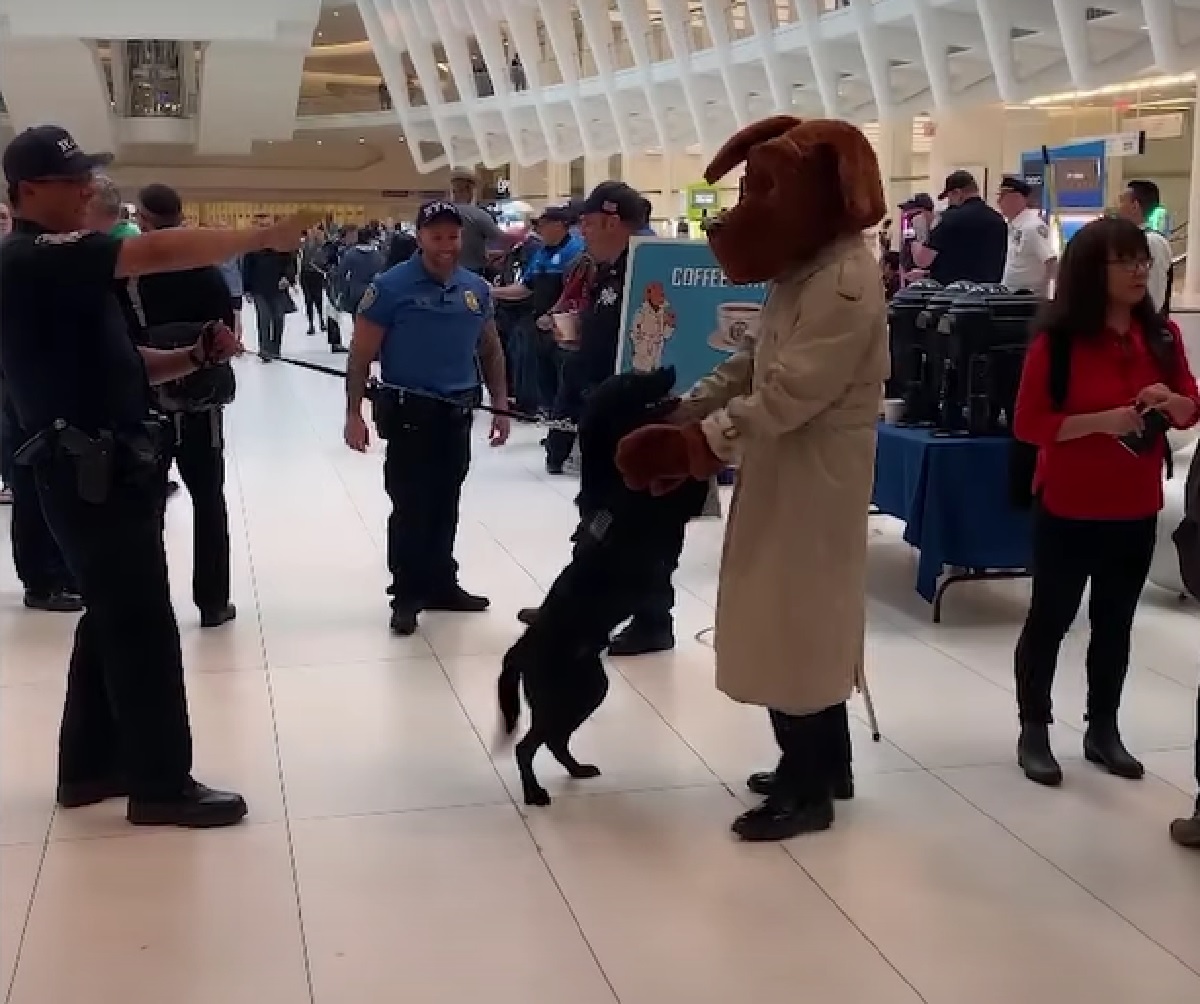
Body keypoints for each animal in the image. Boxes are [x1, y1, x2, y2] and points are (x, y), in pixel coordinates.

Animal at [496, 367, 710, 806]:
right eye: (630, 382)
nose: (670, 369)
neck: (618, 478)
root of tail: (522, 649)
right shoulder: (678, 499)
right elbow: (693, 476)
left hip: (589, 688)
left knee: (555, 741)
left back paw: (577, 770)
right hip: (566, 694)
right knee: (528, 746)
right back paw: (534, 792)